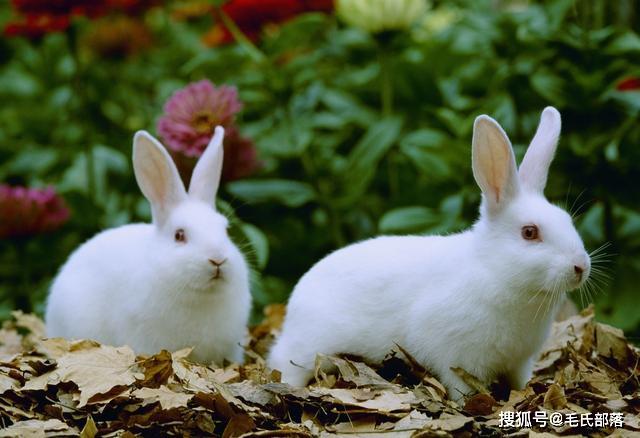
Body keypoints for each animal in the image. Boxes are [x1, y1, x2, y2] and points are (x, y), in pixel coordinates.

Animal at [268, 107, 592, 400]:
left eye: (567, 220)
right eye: (529, 232)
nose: (580, 266)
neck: (495, 271)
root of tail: (294, 304)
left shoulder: (519, 361)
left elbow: (519, 382)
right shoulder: (458, 357)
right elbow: (461, 389)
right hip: (307, 349)